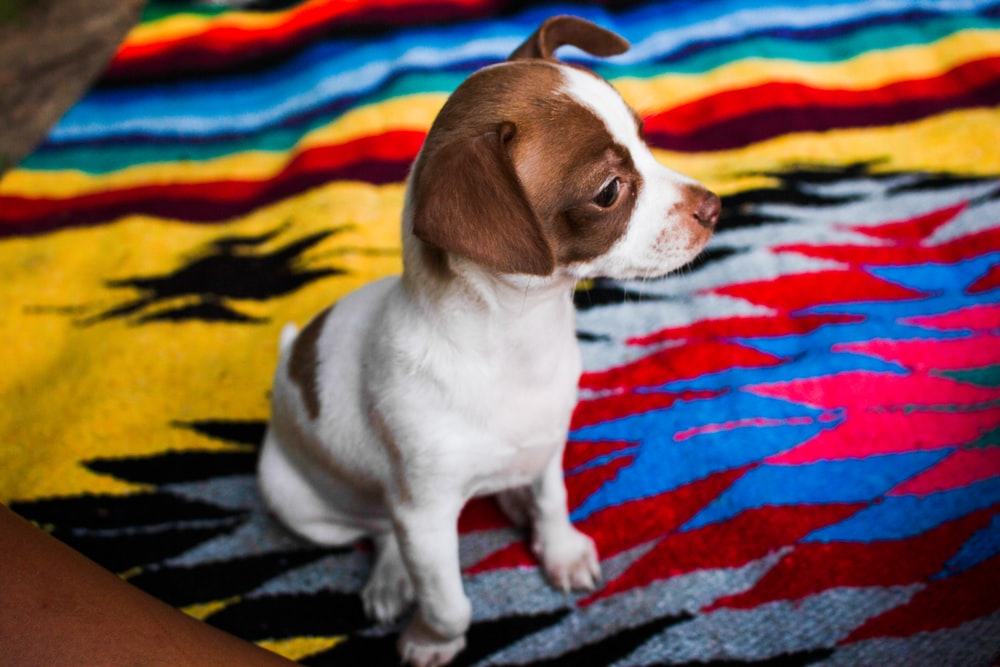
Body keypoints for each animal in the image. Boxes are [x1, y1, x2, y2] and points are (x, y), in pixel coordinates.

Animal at [258, 14, 720, 667]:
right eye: (609, 191)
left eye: (644, 139)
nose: (715, 206)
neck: (520, 341)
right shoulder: (424, 515)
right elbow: (449, 600)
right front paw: (431, 639)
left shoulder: (549, 447)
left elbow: (553, 501)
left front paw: (559, 550)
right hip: (297, 502)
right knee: (377, 528)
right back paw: (392, 578)